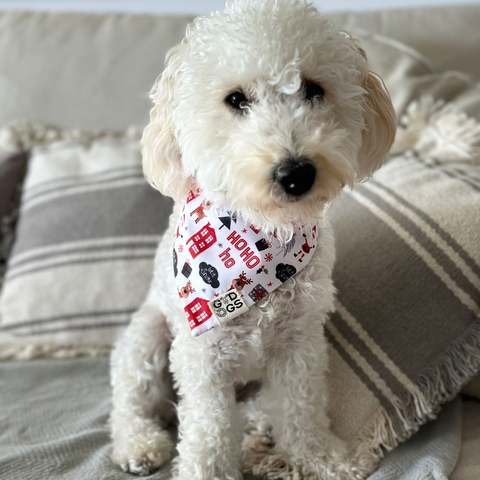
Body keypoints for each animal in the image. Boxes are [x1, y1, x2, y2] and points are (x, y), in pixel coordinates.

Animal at [110, 1, 396, 478]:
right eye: (236, 99)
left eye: (313, 90)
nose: (296, 173)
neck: (264, 238)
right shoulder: (202, 358)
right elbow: (208, 430)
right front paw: (206, 470)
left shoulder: (300, 344)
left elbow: (301, 410)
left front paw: (321, 458)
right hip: (146, 339)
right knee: (129, 404)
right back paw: (139, 444)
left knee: (257, 411)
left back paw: (259, 434)